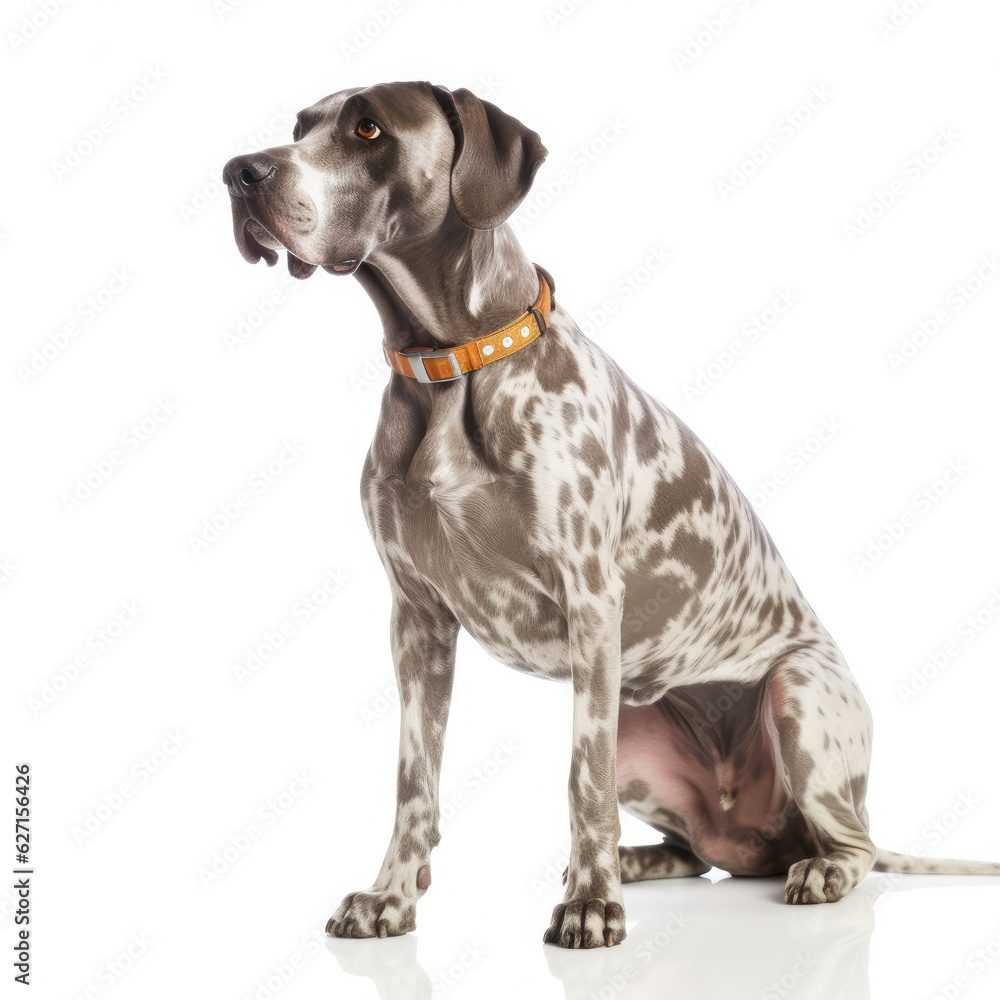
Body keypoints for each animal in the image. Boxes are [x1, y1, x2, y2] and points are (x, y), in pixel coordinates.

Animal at [225, 82, 1000, 948]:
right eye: (299, 127)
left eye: (368, 128)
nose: (239, 172)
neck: (449, 369)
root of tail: (766, 833)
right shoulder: (417, 620)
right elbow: (414, 782)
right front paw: (391, 895)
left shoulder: (592, 605)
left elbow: (579, 782)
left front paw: (593, 906)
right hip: (640, 726)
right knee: (699, 851)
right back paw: (638, 861)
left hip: (794, 692)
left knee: (852, 843)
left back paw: (806, 869)